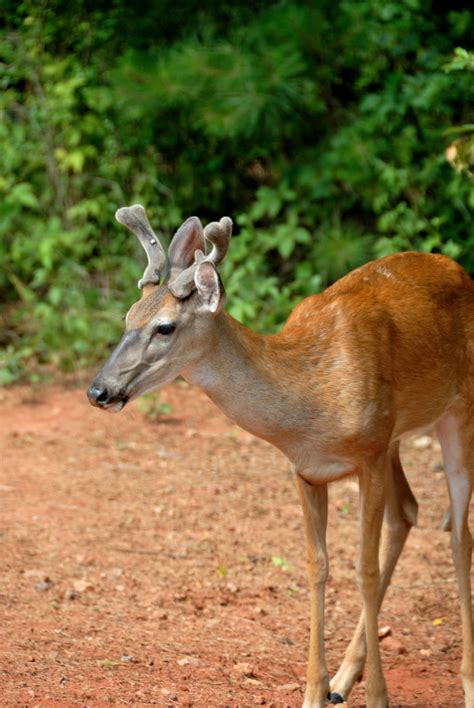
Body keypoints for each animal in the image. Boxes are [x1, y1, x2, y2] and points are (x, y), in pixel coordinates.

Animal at [88, 204, 474, 707]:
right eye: (128, 316)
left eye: (165, 326)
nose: (99, 390)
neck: (309, 399)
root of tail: (459, 270)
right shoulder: (308, 469)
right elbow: (317, 567)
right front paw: (315, 691)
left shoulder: (368, 455)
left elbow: (364, 571)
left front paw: (378, 697)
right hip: (395, 436)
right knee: (408, 511)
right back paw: (342, 679)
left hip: (456, 411)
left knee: (459, 534)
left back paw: (466, 681)